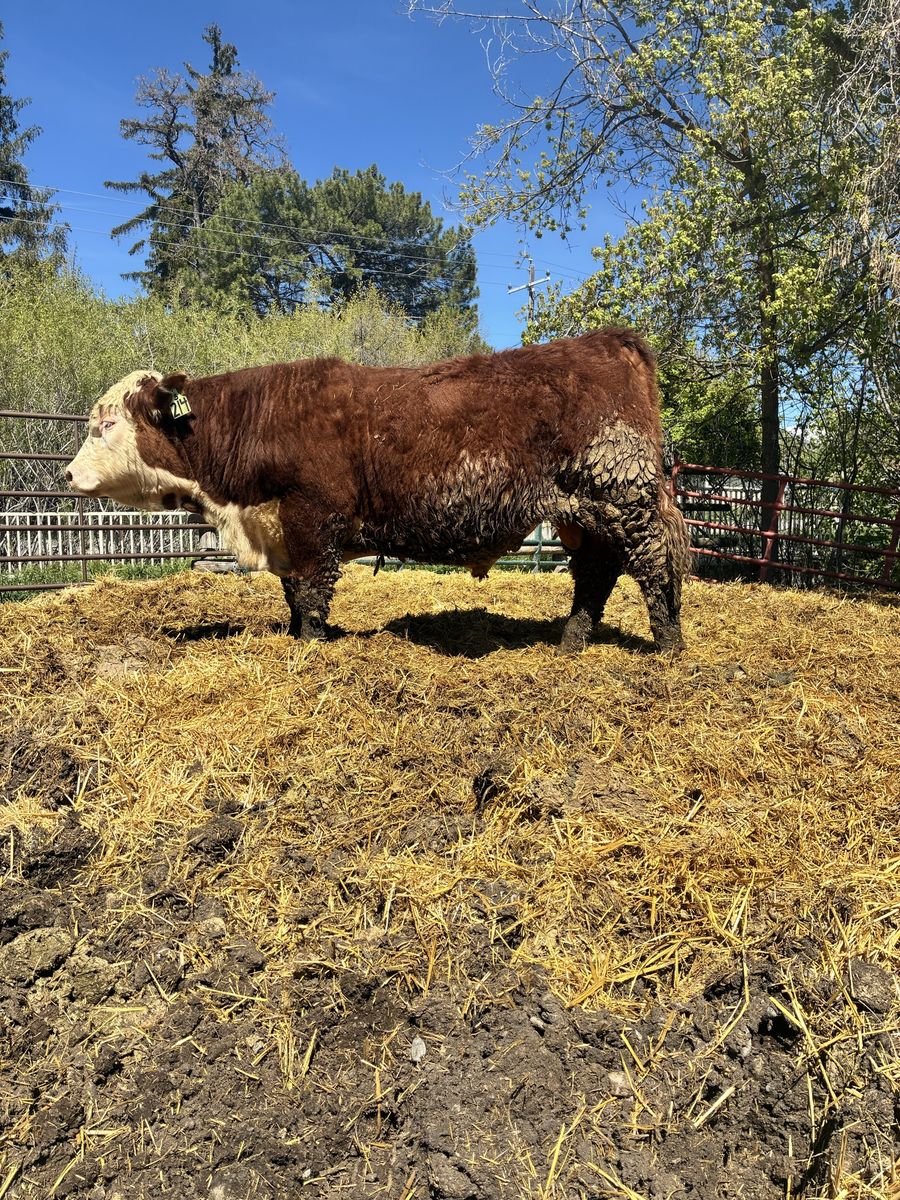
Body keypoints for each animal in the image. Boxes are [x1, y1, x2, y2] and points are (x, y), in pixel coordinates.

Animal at [65, 330, 690, 652]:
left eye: (107, 423)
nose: (69, 476)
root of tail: (609, 340)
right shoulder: (284, 528)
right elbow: (292, 593)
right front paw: (297, 635)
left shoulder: (312, 518)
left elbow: (311, 594)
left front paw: (310, 645)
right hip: (582, 514)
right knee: (595, 575)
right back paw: (571, 643)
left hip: (625, 501)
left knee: (654, 566)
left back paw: (669, 647)